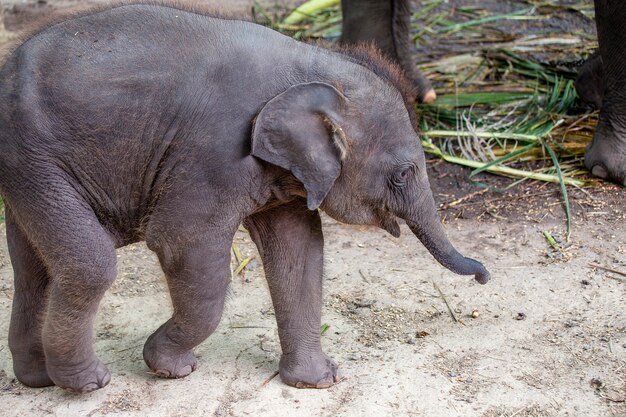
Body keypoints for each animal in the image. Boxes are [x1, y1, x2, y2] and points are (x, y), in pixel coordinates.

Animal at [0, 3, 488, 392]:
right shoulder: (210, 156)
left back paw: (39, 379)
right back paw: (88, 383)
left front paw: (318, 382)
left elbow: (300, 253)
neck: (310, 65)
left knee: (34, 267)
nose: (484, 277)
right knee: (89, 265)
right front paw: (172, 368)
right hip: (33, 156)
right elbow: (181, 245)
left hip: (29, 172)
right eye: (403, 175)